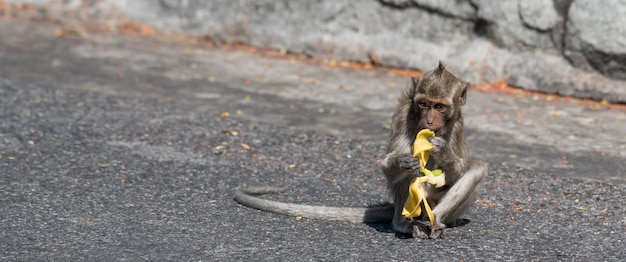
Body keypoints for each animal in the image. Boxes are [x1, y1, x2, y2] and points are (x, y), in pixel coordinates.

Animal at [232, 62, 486, 239]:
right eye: (423, 104)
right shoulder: (404, 113)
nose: (430, 120)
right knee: (410, 178)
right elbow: (390, 167)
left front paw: (441, 151)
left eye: (440, 107)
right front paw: (404, 161)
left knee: (477, 168)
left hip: (433, 205)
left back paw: (438, 221)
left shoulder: (458, 122)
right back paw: (403, 224)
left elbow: (458, 169)